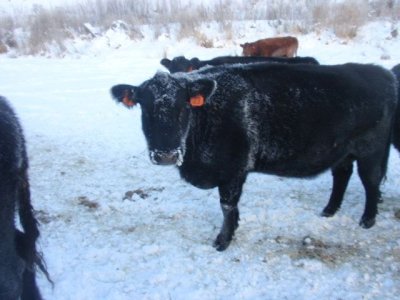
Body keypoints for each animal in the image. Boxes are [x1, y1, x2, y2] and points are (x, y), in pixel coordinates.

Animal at [111, 61, 398, 251]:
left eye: (184, 106)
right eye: (144, 107)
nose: (166, 155)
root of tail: (381, 72)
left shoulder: (232, 170)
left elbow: (227, 206)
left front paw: (223, 241)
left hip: (371, 151)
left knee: (371, 182)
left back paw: (367, 220)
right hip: (343, 151)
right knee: (342, 175)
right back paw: (328, 211)